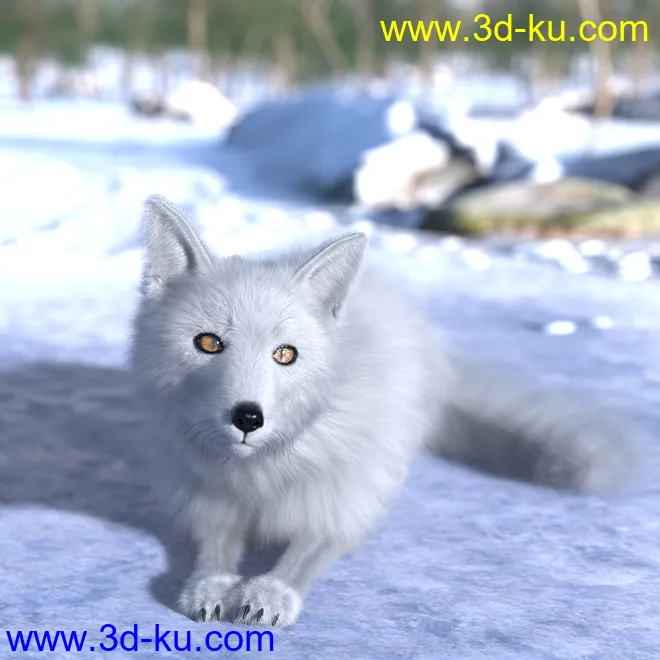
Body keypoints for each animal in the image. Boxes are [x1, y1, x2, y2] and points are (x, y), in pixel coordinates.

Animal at [130, 194, 639, 628]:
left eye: (285, 354)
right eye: (208, 343)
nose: (248, 418)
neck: (261, 474)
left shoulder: (345, 500)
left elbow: (305, 554)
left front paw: (267, 594)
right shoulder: (208, 501)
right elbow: (213, 549)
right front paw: (209, 587)